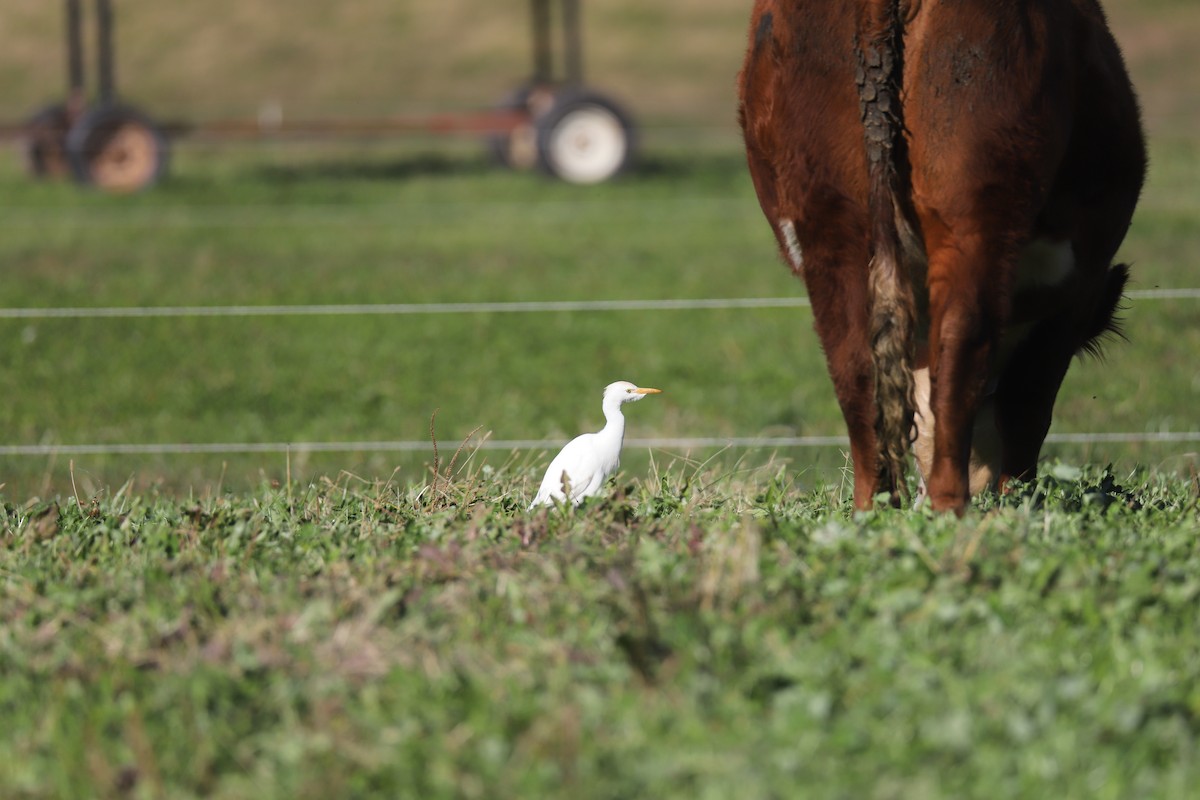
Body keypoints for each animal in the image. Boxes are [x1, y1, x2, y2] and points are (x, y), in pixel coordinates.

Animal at [737, 0, 1146, 514]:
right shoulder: (1073, 297)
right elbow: (1031, 400)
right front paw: (1021, 495)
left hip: (830, 221)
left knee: (854, 366)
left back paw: (875, 507)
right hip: (974, 211)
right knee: (961, 350)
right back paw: (951, 506)